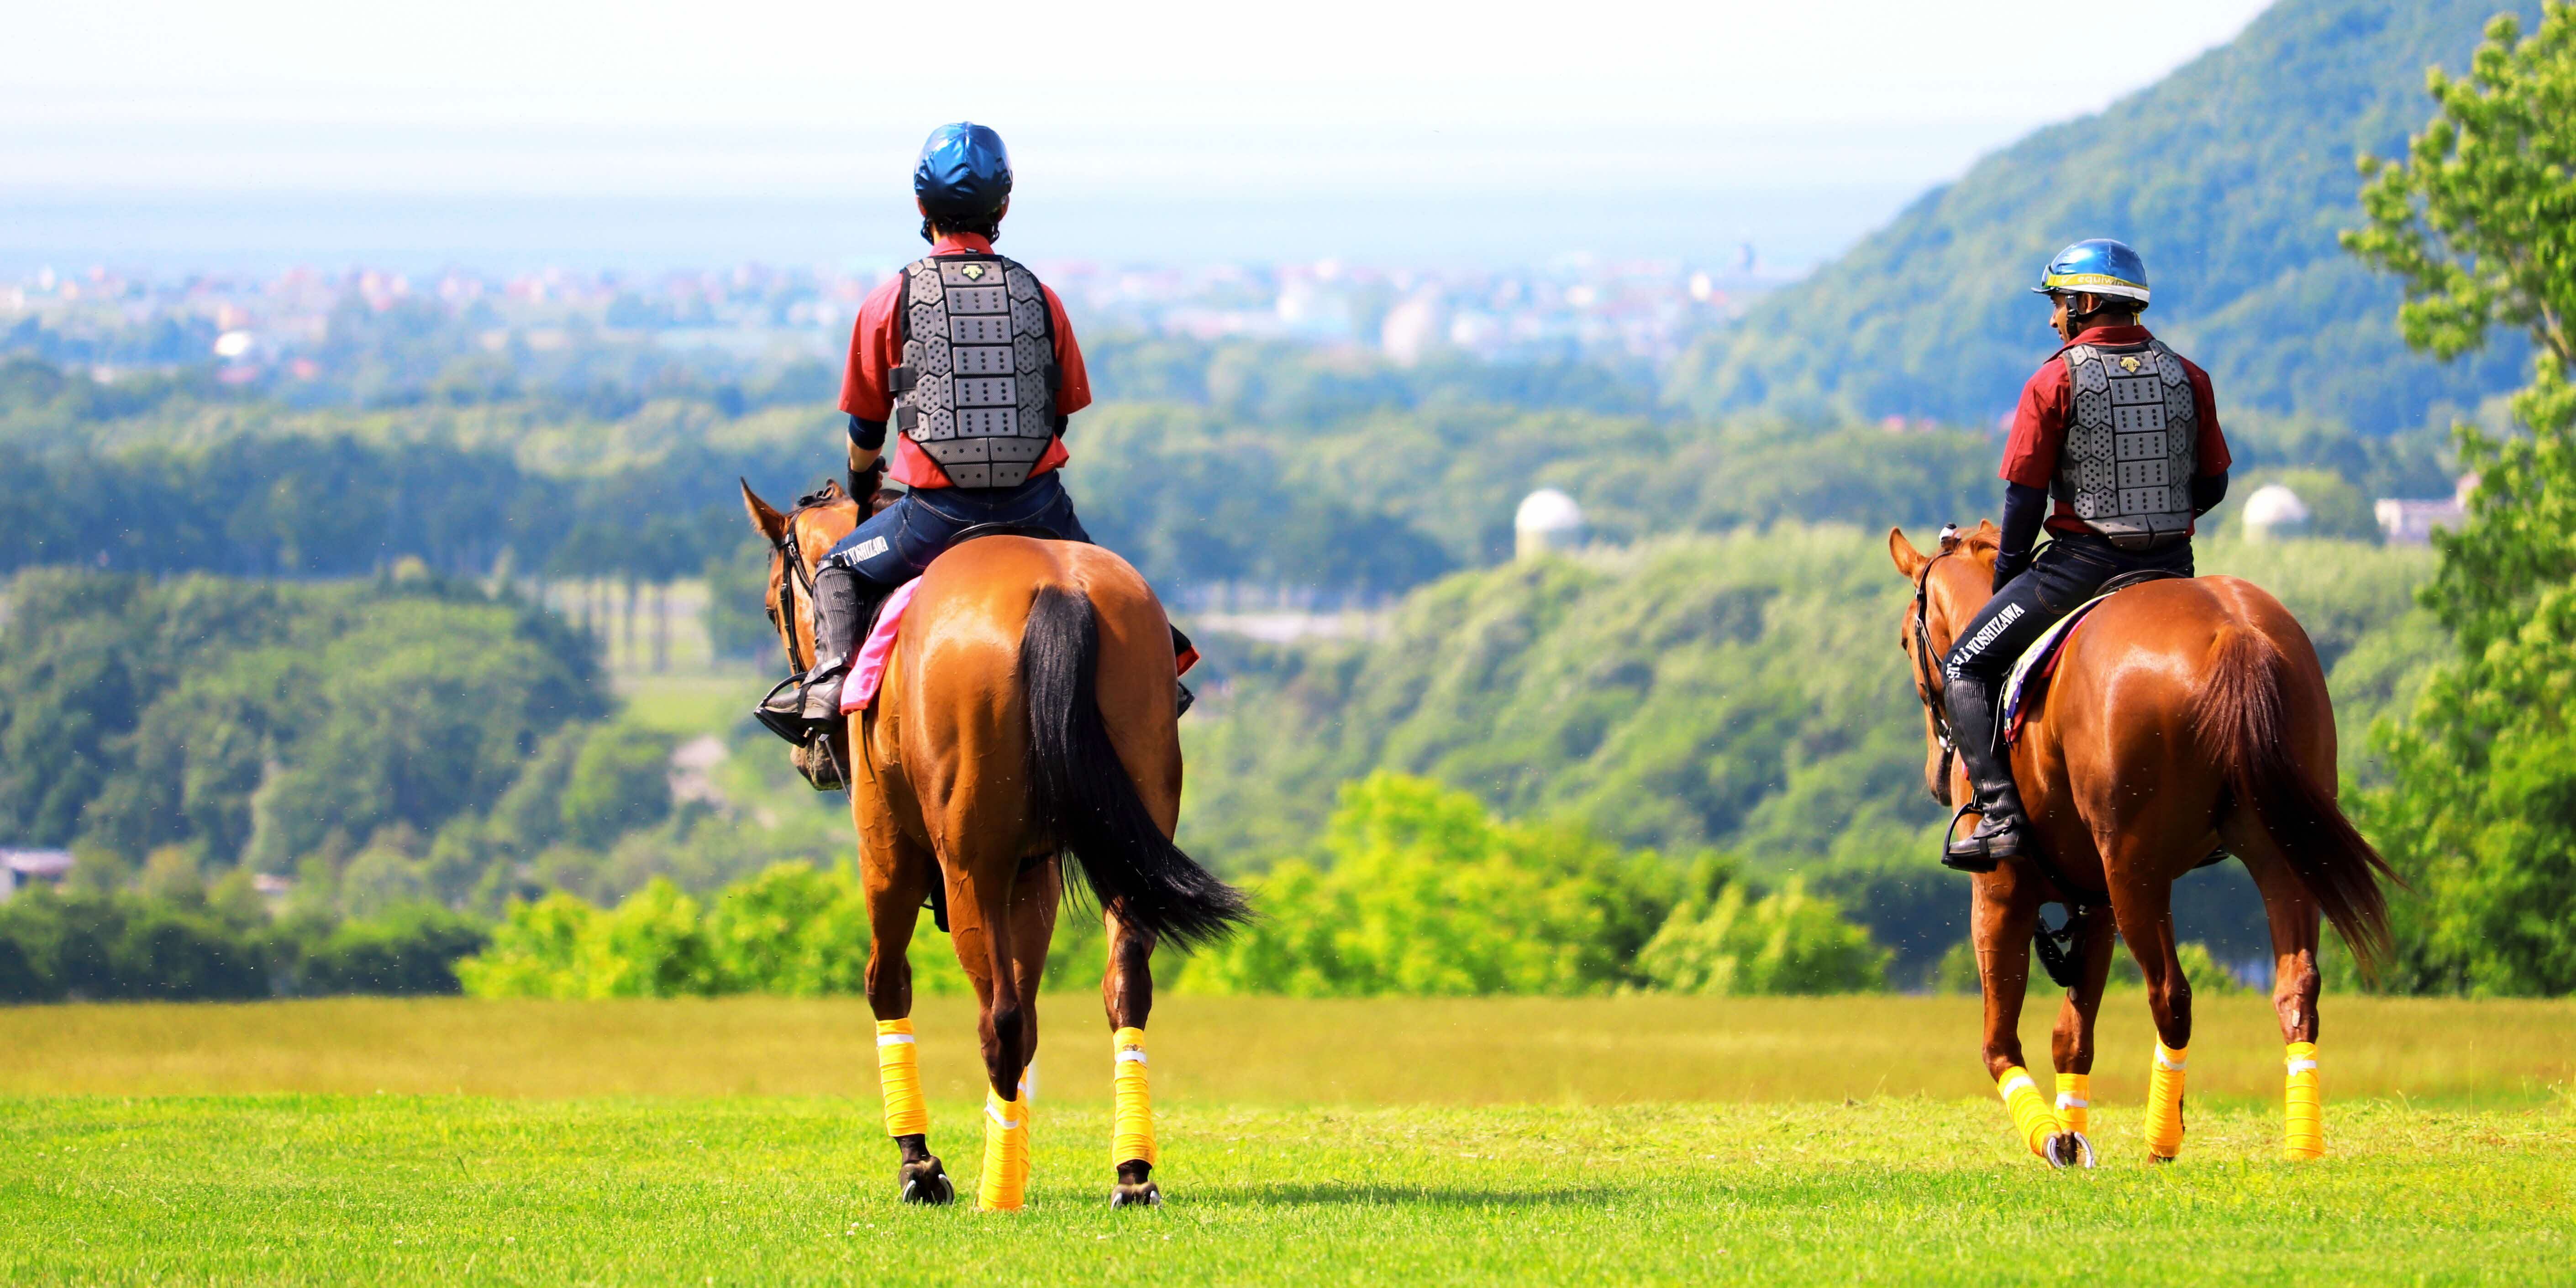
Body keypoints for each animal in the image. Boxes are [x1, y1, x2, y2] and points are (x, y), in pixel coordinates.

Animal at [741, 482, 1252, 1205]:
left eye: (770, 609)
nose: (808, 758)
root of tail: (1057, 590)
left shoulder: (887, 849)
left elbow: (887, 984)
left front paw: (919, 1163)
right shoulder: (1032, 874)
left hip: (966, 865)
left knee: (998, 1016)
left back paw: (995, 1188)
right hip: (1125, 840)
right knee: (1121, 988)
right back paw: (1129, 1169)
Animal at [1896, 520, 2390, 1169]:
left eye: (1905, 640)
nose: (1933, 773)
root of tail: (2232, 627)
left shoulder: (2002, 896)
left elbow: (1999, 1043)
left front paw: (2050, 1138)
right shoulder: (2095, 903)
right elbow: (2071, 1037)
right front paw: (2070, 1134)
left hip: (2137, 873)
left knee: (2170, 994)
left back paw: (2162, 1141)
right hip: (2278, 853)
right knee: (2295, 987)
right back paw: (2300, 1142)